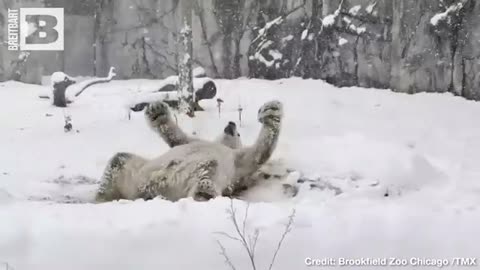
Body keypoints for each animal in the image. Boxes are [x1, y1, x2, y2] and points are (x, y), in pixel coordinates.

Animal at [94, 100, 282, 201]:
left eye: (239, 133)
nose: (231, 123)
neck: (221, 145)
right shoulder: (193, 142)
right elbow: (176, 138)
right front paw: (157, 111)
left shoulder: (239, 162)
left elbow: (258, 154)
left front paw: (271, 112)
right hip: (136, 175)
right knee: (118, 161)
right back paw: (101, 199)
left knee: (206, 180)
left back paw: (203, 193)